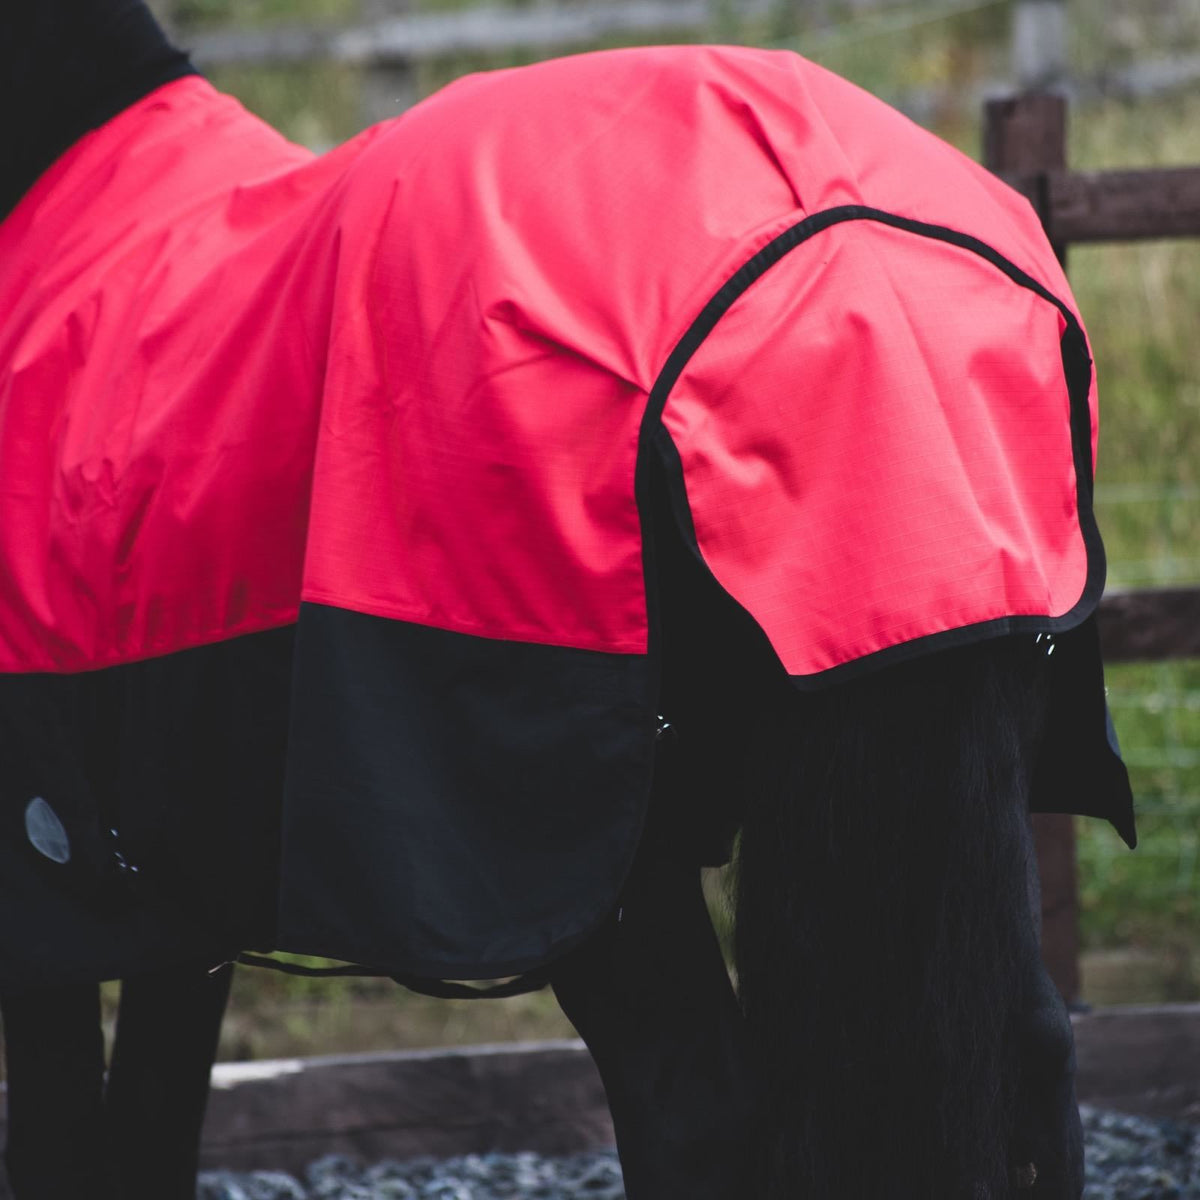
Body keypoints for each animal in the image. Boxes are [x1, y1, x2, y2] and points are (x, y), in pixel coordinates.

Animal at [1, 2, 1136, 1197]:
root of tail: (847, 264)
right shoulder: (179, 881)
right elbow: (147, 1118)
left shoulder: (48, 876)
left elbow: (63, 1127)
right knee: (1027, 1058)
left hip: (592, 858)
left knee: (696, 1105)